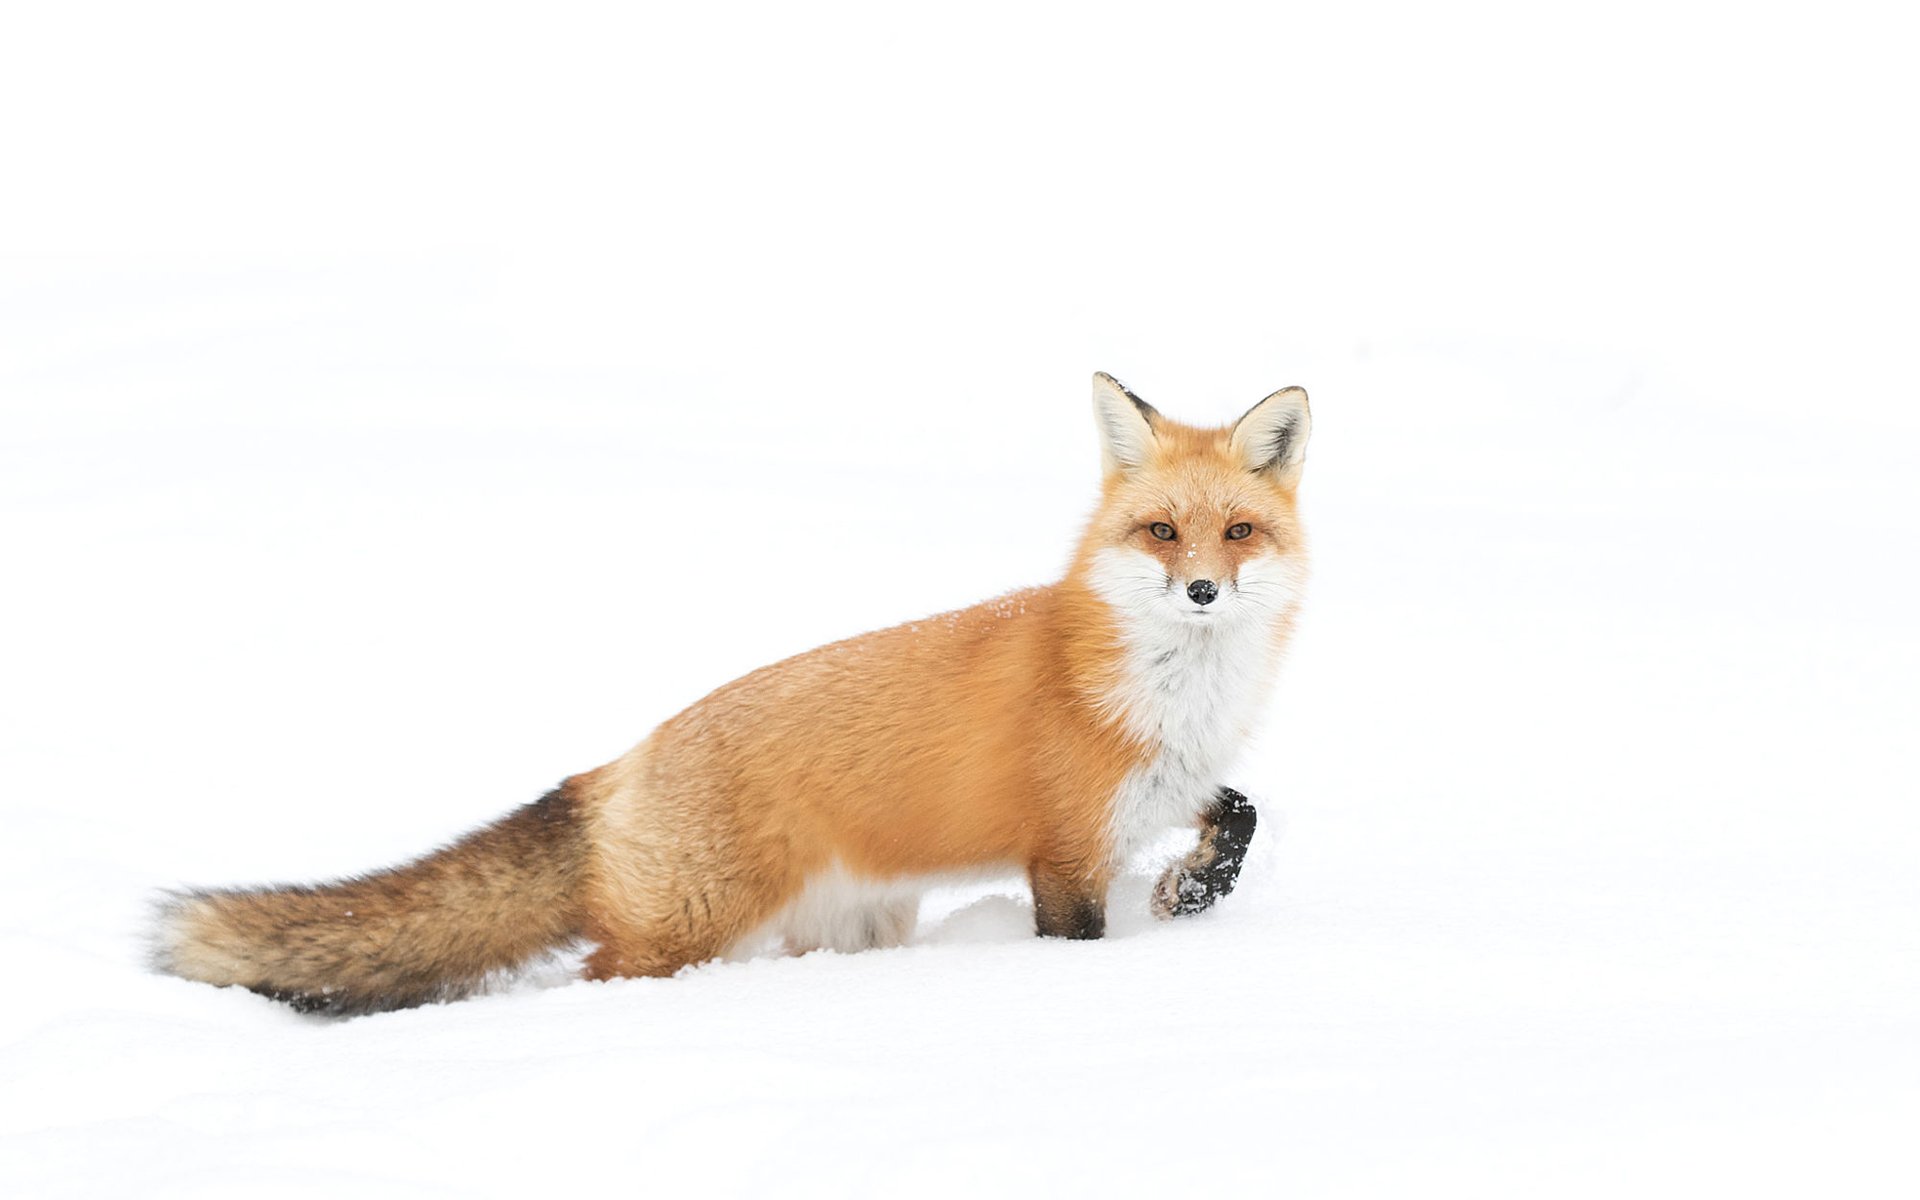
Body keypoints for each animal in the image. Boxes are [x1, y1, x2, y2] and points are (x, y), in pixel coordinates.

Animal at [153, 373, 1311, 1014]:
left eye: (1237, 531)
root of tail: (619, 763)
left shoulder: (1164, 788)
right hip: (680, 935)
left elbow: (1242, 813)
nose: (1202, 589)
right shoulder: (1063, 848)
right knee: (597, 978)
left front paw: (1190, 890)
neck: (1168, 691)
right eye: (1161, 532)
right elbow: (1080, 941)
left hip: (848, 927)